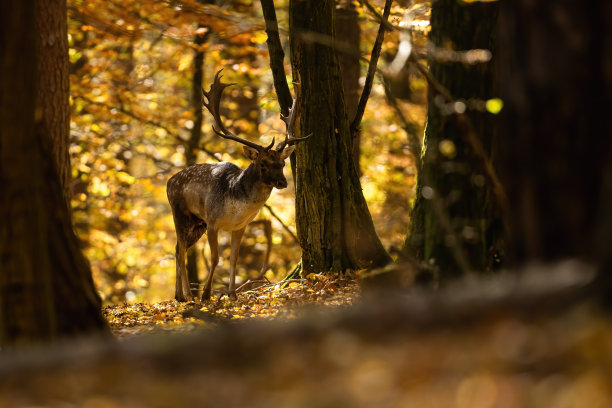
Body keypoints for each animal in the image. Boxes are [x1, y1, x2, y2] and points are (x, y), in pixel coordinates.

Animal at [165, 68, 308, 302]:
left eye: (282, 163)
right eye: (262, 163)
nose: (282, 182)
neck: (237, 207)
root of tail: (169, 182)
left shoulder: (240, 227)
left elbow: (234, 258)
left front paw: (232, 294)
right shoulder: (213, 221)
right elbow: (216, 258)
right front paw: (206, 294)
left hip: (197, 223)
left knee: (178, 249)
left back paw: (179, 295)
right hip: (180, 213)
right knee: (181, 249)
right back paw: (189, 296)